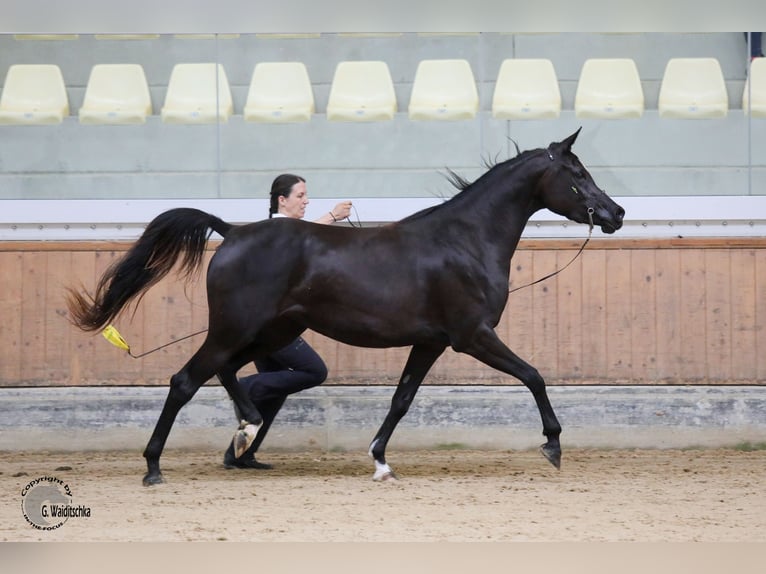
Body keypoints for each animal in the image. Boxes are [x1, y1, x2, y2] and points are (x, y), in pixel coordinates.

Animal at [66, 129, 625, 486]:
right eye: (576, 173)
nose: (616, 213)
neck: (465, 241)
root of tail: (234, 231)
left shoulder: (431, 342)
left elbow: (401, 400)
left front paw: (380, 461)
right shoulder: (473, 336)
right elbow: (533, 375)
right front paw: (552, 446)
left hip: (268, 331)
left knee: (226, 373)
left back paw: (247, 430)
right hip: (236, 327)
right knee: (186, 380)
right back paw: (156, 467)